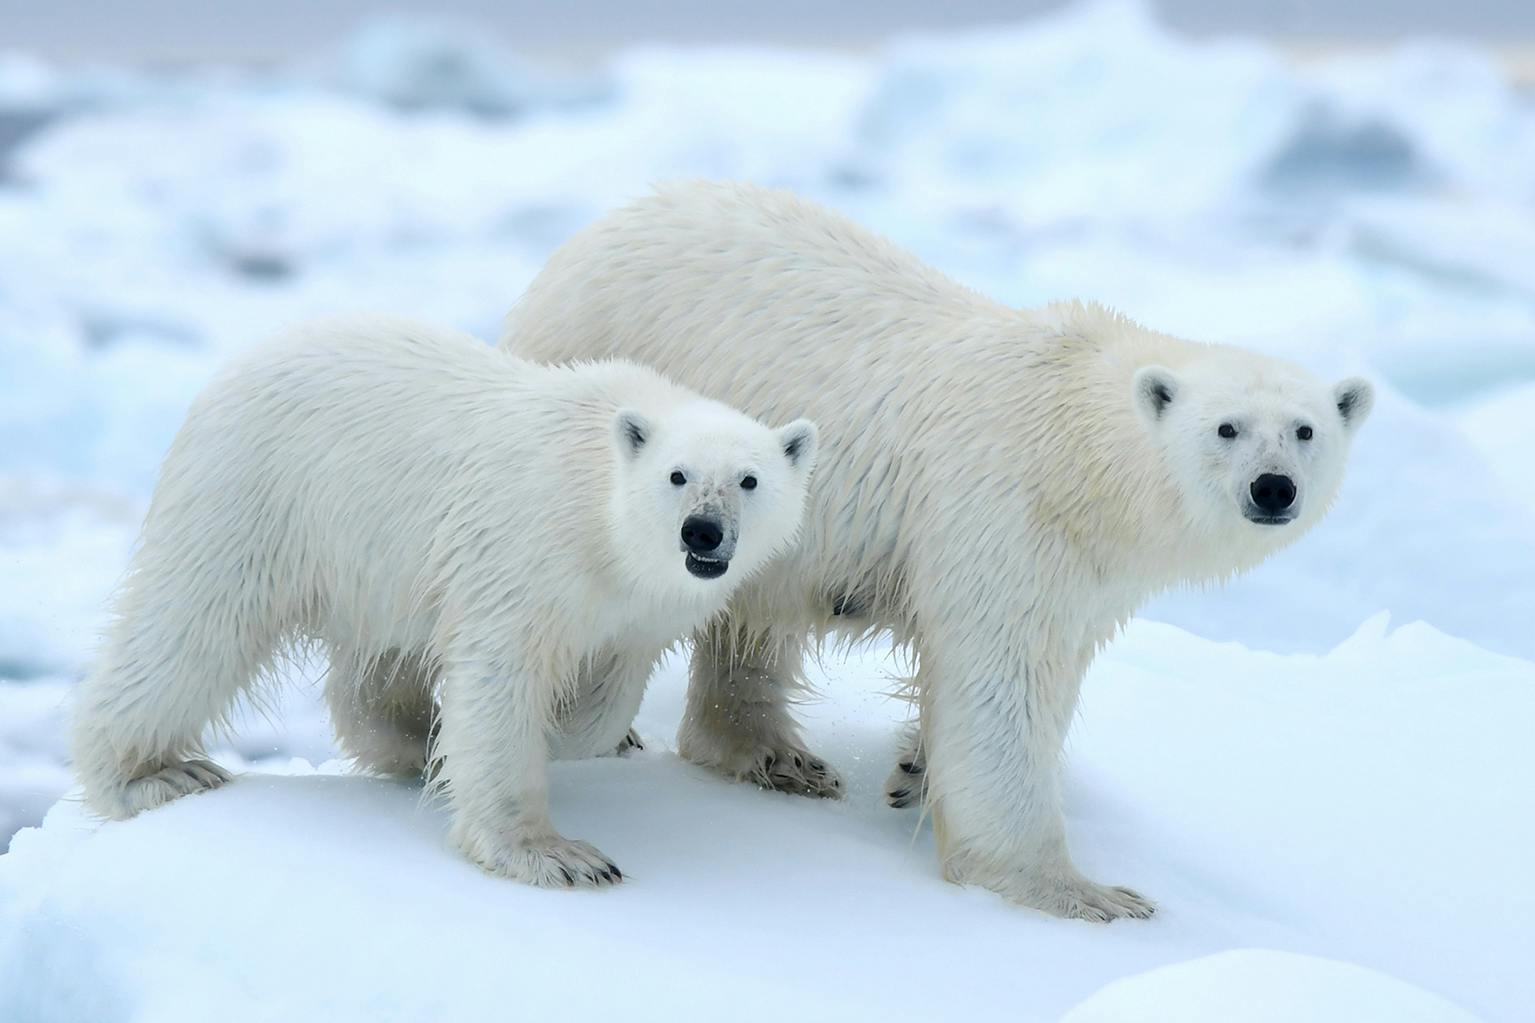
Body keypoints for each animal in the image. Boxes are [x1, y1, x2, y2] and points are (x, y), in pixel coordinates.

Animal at [500, 181, 1369, 915]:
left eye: (1304, 430)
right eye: (1225, 427)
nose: (1272, 488)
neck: (1080, 449)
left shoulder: (1085, 575)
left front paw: (916, 770)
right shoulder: (1003, 511)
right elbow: (1001, 683)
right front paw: (1079, 892)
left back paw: (775, 755)